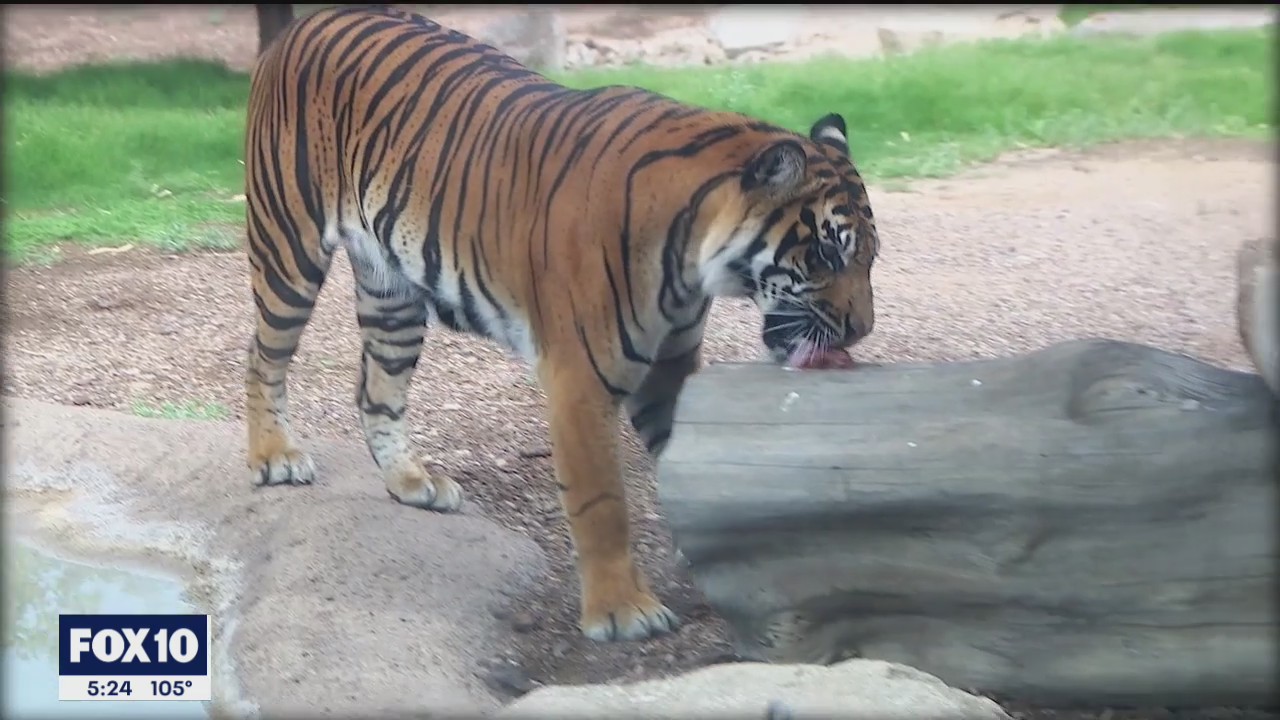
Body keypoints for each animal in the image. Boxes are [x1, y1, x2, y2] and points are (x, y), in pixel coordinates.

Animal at [243, 4, 881, 643]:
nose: (861, 330)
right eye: (828, 254)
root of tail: (312, 21)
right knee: (262, 356)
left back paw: (411, 484)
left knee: (377, 392)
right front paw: (623, 610)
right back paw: (275, 456)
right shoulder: (581, 379)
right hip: (288, 248)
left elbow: (688, 459)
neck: (691, 258)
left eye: (869, 256)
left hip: (392, 294)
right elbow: (602, 500)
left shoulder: (667, 370)